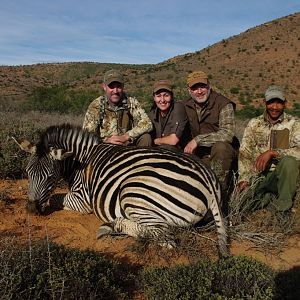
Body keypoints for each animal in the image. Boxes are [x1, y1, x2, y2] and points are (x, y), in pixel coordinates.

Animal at [16, 123, 230, 255]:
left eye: (50, 176)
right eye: (27, 173)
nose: (31, 209)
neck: (81, 161)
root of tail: (209, 181)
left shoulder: (82, 200)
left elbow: (55, 198)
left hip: (133, 192)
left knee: (165, 237)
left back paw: (115, 224)